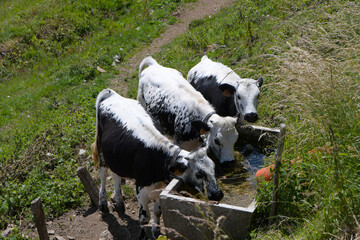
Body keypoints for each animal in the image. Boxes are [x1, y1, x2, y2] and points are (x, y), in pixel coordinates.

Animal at [92, 89, 222, 239]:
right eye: (199, 173)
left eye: (213, 169)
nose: (219, 194)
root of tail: (111, 93)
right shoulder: (141, 190)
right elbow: (144, 218)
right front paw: (143, 235)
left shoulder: (161, 188)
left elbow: (157, 211)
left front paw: (157, 232)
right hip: (102, 152)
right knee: (103, 175)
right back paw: (102, 203)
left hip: (116, 157)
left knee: (116, 176)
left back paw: (119, 202)